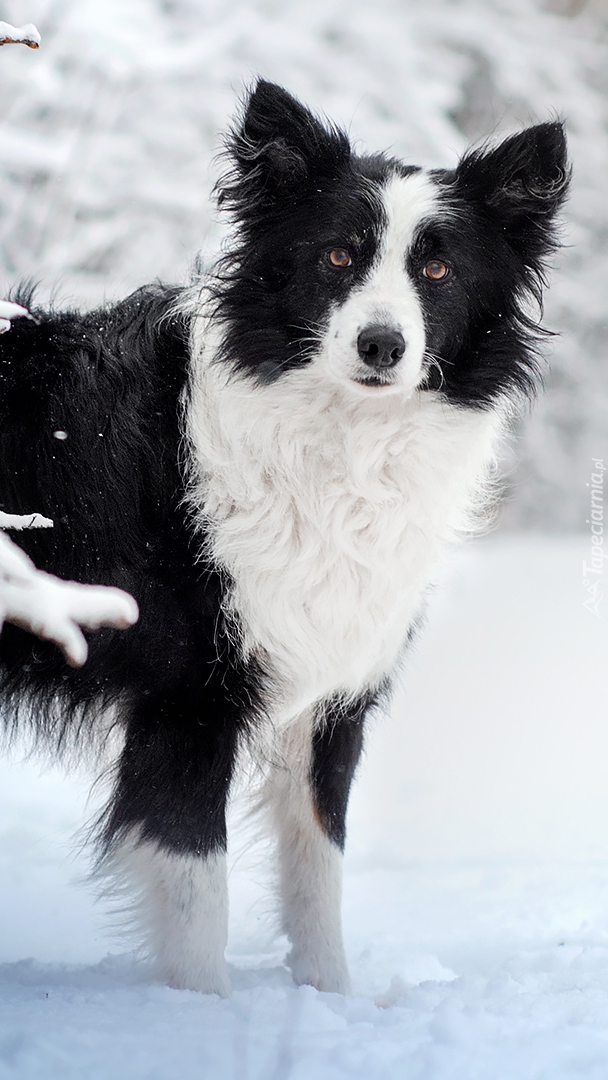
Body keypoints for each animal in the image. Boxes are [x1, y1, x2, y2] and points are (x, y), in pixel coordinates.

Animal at [1, 82, 570, 993]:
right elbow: (200, 903)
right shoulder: (190, 697)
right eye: (338, 257)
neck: (338, 439)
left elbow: (317, 875)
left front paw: (328, 1000)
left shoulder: (330, 698)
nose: (382, 344)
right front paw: (199, 1011)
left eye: (437, 269)